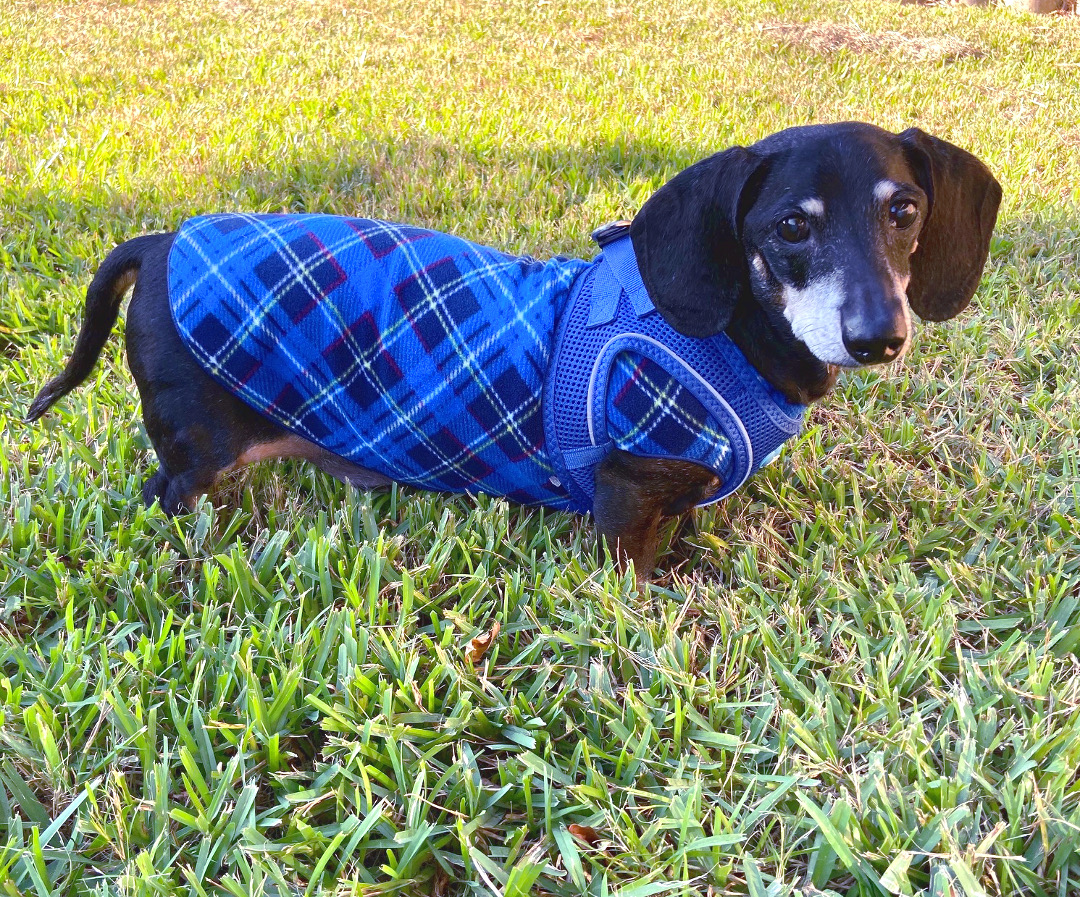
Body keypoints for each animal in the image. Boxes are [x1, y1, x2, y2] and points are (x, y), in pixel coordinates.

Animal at [27, 123, 1002, 574]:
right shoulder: (624, 484)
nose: (881, 338)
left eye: (904, 210)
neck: (730, 336)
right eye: (792, 226)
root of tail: (160, 243)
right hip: (197, 443)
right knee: (170, 491)